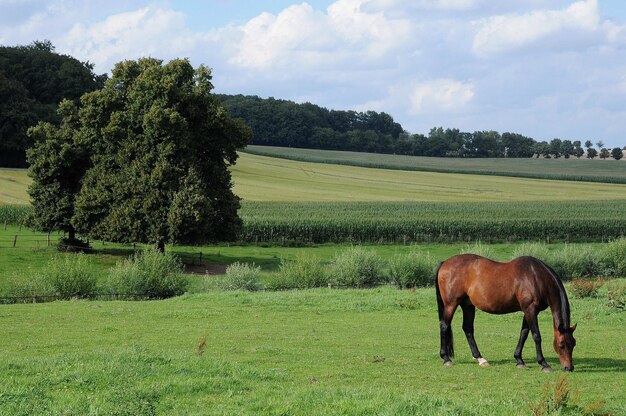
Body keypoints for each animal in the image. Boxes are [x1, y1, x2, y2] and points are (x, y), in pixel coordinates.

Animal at [434, 255, 576, 372]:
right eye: (562, 345)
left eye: (573, 344)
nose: (569, 368)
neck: (536, 277)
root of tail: (445, 262)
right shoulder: (530, 310)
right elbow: (536, 336)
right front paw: (544, 364)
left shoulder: (528, 311)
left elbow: (524, 334)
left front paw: (519, 360)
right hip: (451, 304)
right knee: (444, 325)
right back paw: (446, 358)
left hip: (468, 305)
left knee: (468, 329)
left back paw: (480, 359)